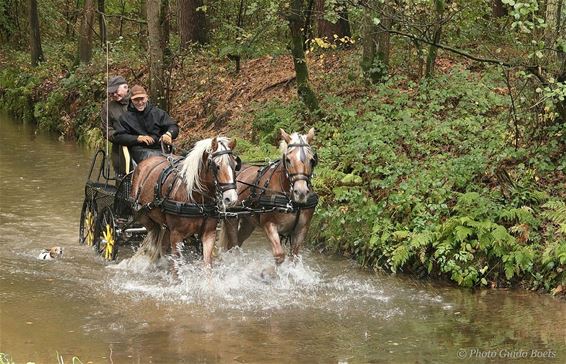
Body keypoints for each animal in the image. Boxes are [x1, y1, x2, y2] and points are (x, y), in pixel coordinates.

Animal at [131, 136, 242, 264]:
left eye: (235, 165)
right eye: (217, 166)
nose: (231, 198)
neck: (198, 201)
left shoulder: (209, 234)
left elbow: (207, 263)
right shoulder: (176, 235)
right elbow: (177, 265)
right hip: (143, 216)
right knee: (153, 235)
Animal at [221, 128, 320, 264]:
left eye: (312, 160)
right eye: (288, 160)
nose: (300, 192)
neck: (291, 202)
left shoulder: (302, 229)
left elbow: (293, 258)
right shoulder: (269, 224)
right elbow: (279, 255)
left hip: (248, 223)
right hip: (232, 218)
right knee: (233, 246)